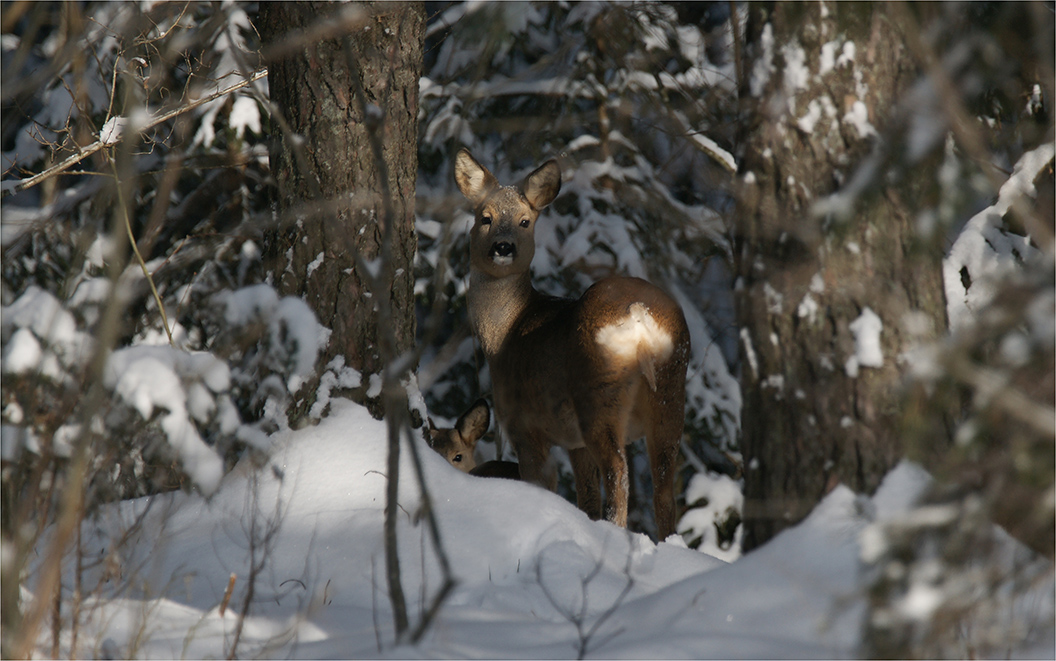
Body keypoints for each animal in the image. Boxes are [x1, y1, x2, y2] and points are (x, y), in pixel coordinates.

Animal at [456, 147, 692, 536]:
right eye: (485, 218)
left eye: (525, 221)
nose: (503, 247)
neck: (505, 333)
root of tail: (639, 315)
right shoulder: (573, 441)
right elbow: (586, 497)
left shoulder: (525, 425)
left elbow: (543, 484)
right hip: (671, 390)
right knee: (664, 489)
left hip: (598, 393)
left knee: (619, 472)